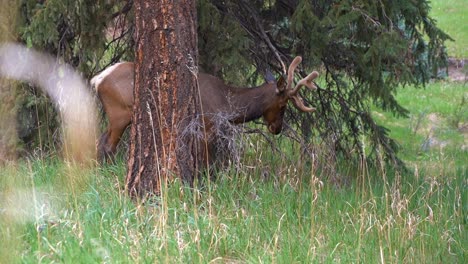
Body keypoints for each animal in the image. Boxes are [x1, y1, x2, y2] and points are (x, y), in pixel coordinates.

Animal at [91, 56, 318, 161]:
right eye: (283, 105)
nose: (276, 128)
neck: (228, 106)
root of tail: (97, 79)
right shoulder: (207, 125)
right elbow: (206, 159)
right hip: (120, 113)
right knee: (108, 145)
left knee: (99, 140)